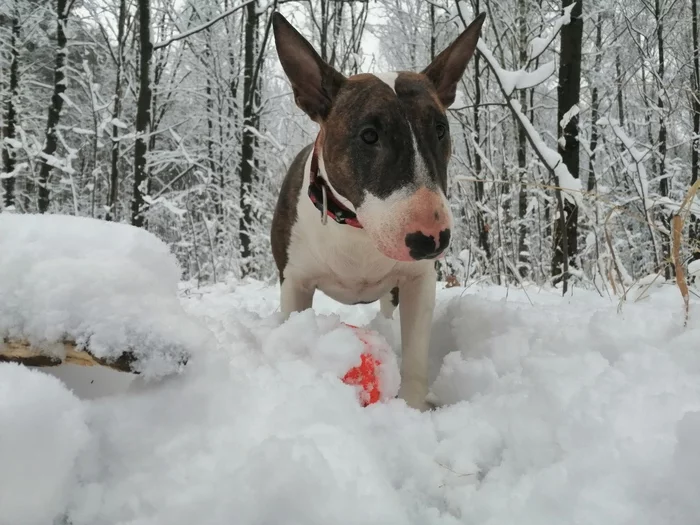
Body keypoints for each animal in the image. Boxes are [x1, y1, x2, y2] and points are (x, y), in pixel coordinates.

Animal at [270, 9, 484, 410]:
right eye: (369, 135)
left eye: (440, 128)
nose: (432, 239)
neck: (357, 230)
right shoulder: (295, 282)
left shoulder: (418, 281)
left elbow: (415, 355)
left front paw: (413, 408)